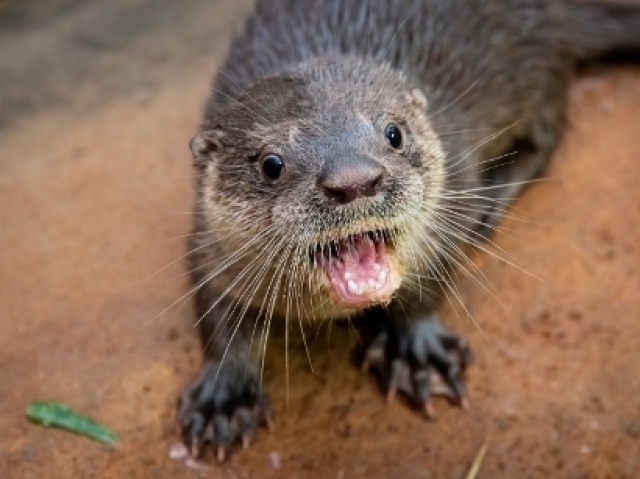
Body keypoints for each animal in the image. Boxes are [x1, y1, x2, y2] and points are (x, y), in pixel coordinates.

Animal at [174, 0, 640, 464]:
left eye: (393, 133)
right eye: (272, 164)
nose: (354, 180)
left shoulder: (453, 195)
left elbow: (430, 281)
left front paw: (418, 351)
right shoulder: (209, 243)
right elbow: (218, 316)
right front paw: (225, 395)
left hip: (534, 67)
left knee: (548, 133)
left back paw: (493, 200)